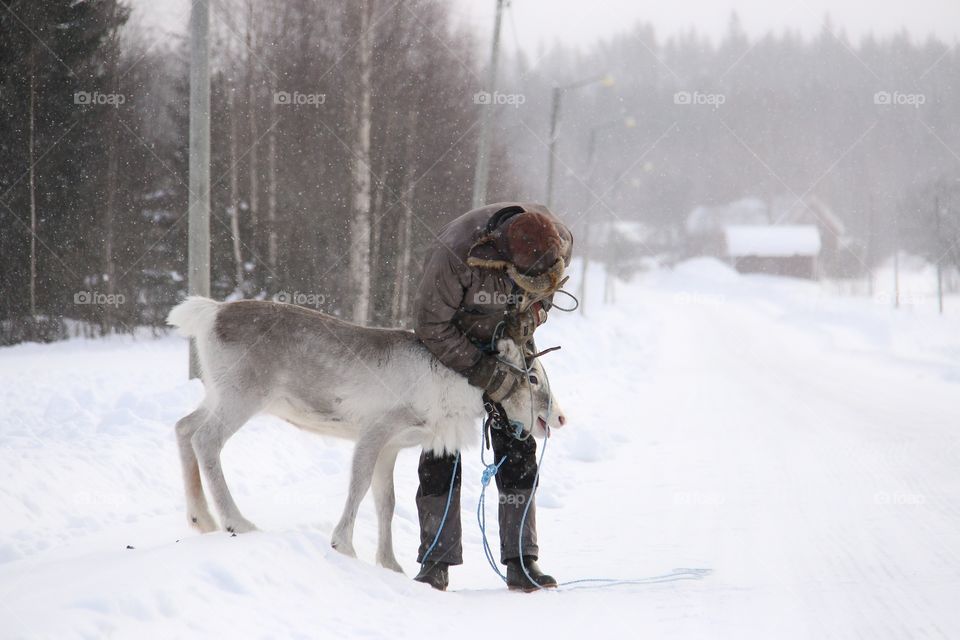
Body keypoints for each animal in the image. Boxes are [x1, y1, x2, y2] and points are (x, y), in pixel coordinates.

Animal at [166, 297, 564, 573]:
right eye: (532, 378)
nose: (559, 417)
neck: (455, 386)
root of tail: (209, 313)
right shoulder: (375, 431)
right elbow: (357, 486)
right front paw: (344, 545)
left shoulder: (392, 448)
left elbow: (385, 501)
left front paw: (391, 564)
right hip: (242, 397)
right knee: (206, 440)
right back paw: (236, 522)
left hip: (217, 395)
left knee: (184, 426)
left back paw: (202, 519)